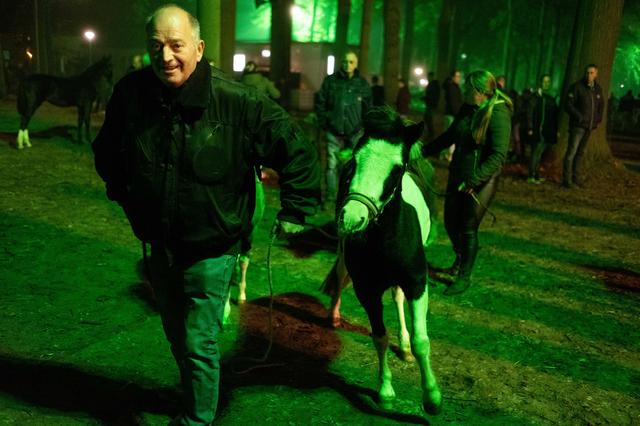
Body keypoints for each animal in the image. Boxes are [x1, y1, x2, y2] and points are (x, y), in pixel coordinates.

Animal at [335, 106, 442, 415]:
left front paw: (432, 397)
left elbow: (421, 340)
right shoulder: (366, 289)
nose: (352, 218)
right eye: (354, 161)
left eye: (396, 170)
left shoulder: (417, 282)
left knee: (399, 299)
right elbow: (379, 336)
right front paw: (385, 391)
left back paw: (404, 346)